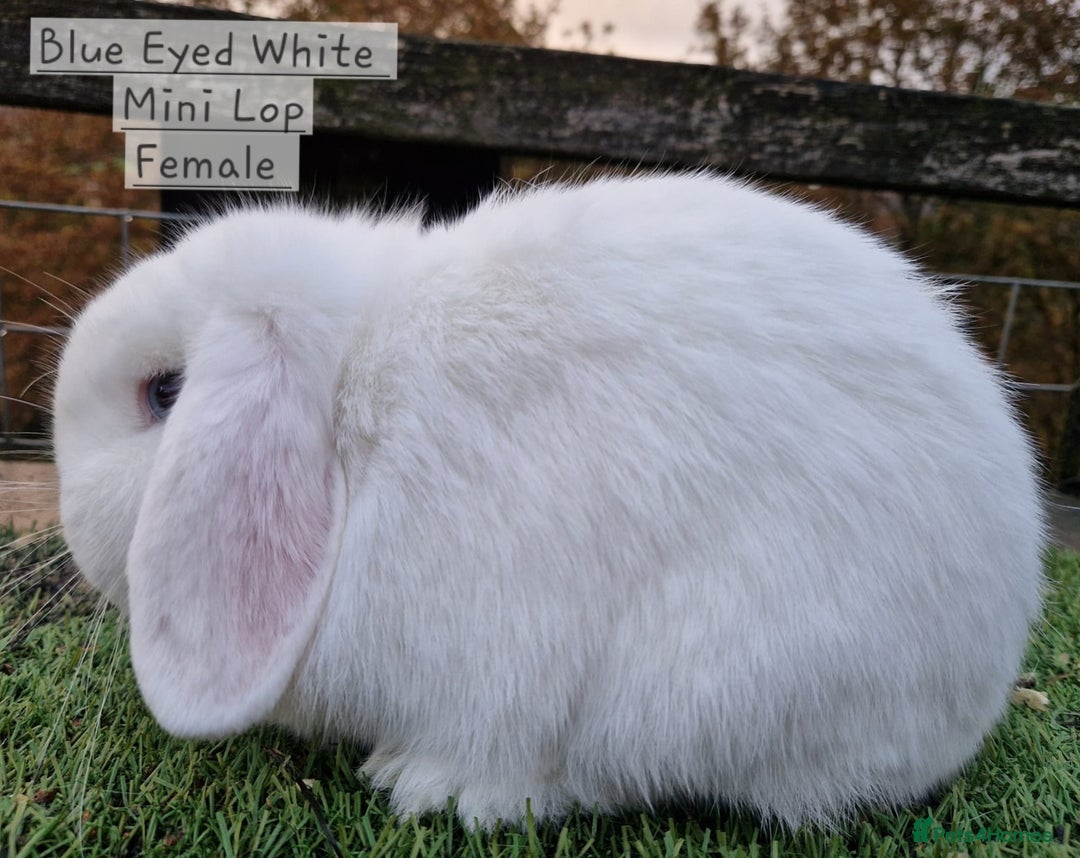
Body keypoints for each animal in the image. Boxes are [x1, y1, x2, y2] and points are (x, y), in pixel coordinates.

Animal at [52, 172, 1045, 830]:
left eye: (163, 394)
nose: (71, 532)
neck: (355, 412)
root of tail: (980, 683)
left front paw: (433, 785)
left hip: (711, 681)